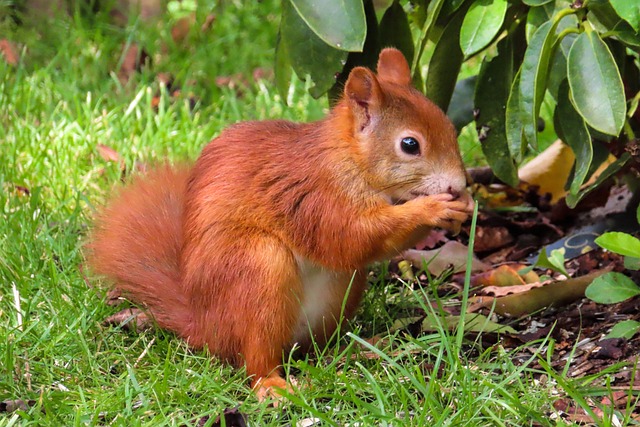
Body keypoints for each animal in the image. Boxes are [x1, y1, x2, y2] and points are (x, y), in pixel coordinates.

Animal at [87, 48, 472, 400]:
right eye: (409, 144)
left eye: (449, 127)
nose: (458, 185)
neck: (348, 158)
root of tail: (204, 326)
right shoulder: (315, 197)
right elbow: (350, 237)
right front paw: (431, 209)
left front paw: (463, 206)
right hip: (258, 268)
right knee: (255, 358)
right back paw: (273, 384)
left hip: (339, 292)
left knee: (310, 345)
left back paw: (354, 349)